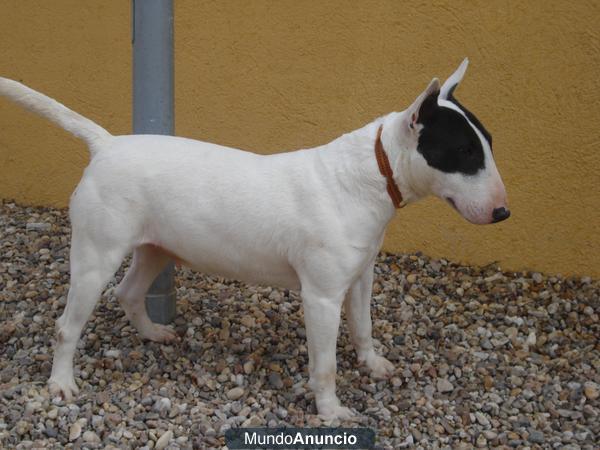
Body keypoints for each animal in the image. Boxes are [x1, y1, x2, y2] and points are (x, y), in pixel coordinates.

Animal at [0, 59, 508, 418]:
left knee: (128, 292)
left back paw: (153, 333)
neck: (370, 174)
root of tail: (107, 145)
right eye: (463, 152)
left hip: (157, 247)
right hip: (96, 254)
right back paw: (61, 382)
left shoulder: (362, 275)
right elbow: (325, 363)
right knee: (68, 324)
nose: (503, 213)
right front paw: (331, 411)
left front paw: (374, 364)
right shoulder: (321, 295)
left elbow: (364, 326)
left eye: (488, 143)